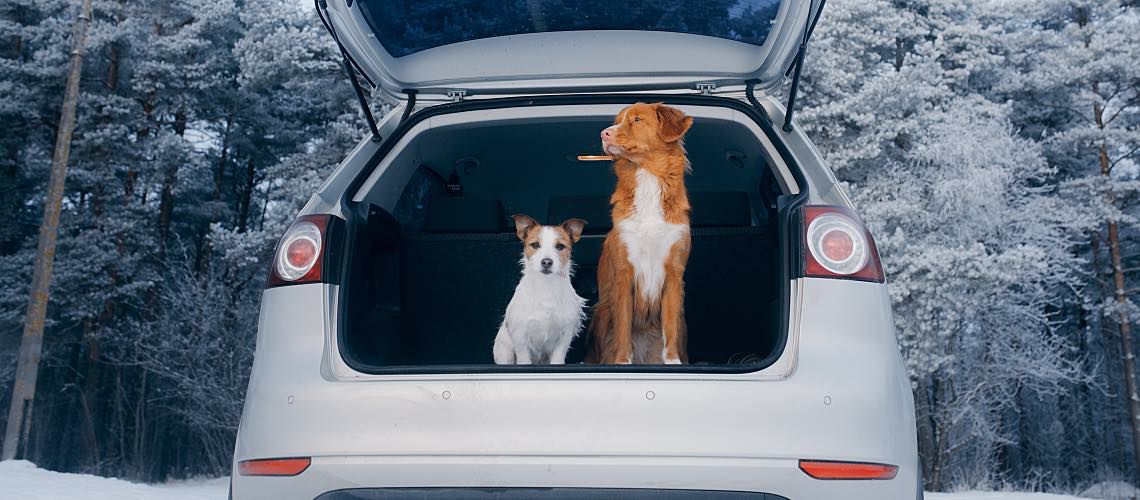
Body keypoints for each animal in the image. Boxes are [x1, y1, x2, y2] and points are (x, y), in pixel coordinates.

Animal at [492, 214, 588, 364]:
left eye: (560, 246)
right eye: (535, 245)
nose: (547, 262)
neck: (546, 286)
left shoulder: (564, 335)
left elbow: (558, 359)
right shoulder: (520, 337)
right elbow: (524, 360)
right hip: (505, 350)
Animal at [588, 103, 693, 366]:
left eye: (637, 120)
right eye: (617, 120)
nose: (604, 133)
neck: (647, 177)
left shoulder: (674, 273)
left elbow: (670, 328)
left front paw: (673, 362)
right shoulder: (624, 273)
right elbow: (623, 328)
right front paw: (622, 363)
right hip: (601, 312)